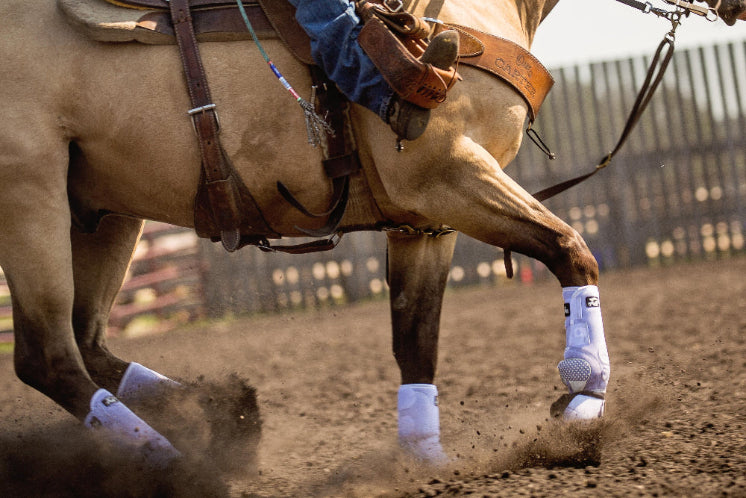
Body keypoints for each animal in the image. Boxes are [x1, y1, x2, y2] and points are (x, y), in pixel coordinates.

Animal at [0, 0, 742, 468]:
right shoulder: (451, 174)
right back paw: (175, 461)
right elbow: (571, 252)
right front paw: (585, 399)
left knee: (89, 343)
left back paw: (221, 415)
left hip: (102, 211)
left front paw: (426, 458)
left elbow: (416, 338)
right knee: (48, 357)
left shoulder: (426, 217)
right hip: (30, 194)